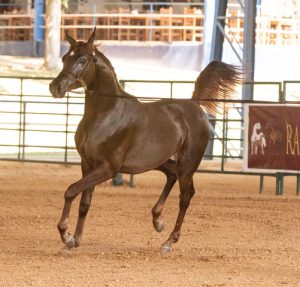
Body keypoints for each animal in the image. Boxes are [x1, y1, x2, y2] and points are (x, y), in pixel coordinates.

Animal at [49, 28, 241, 254]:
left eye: (82, 60)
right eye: (64, 58)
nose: (55, 87)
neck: (106, 113)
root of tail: (194, 105)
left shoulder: (107, 168)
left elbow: (71, 191)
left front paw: (66, 235)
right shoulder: (87, 164)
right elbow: (84, 203)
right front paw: (75, 240)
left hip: (188, 164)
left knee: (186, 195)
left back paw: (169, 241)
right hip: (160, 161)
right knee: (172, 175)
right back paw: (157, 221)